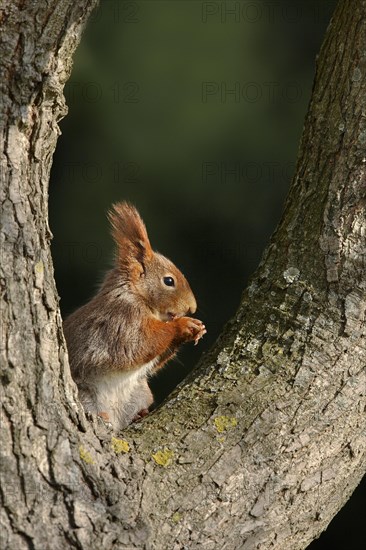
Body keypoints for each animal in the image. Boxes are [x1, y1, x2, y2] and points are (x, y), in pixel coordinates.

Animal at [63, 203, 206, 432]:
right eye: (169, 281)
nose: (191, 308)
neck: (135, 295)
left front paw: (196, 329)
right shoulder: (121, 321)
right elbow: (138, 346)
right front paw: (182, 325)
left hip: (139, 392)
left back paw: (139, 414)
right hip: (85, 396)